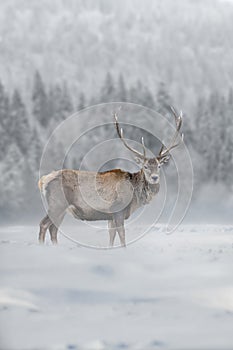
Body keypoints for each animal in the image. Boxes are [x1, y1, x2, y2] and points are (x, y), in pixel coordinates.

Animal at [38, 106, 183, 246]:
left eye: (159, 166)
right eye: (145, 166)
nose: (154, 177)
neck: (135, 196)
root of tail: (43, 180)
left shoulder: (110, 216)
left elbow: (111, 236)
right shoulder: (118, 210)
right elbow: (122, 236)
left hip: (61, 209)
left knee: (53, 229)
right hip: (57, 203)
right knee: (44, 224)